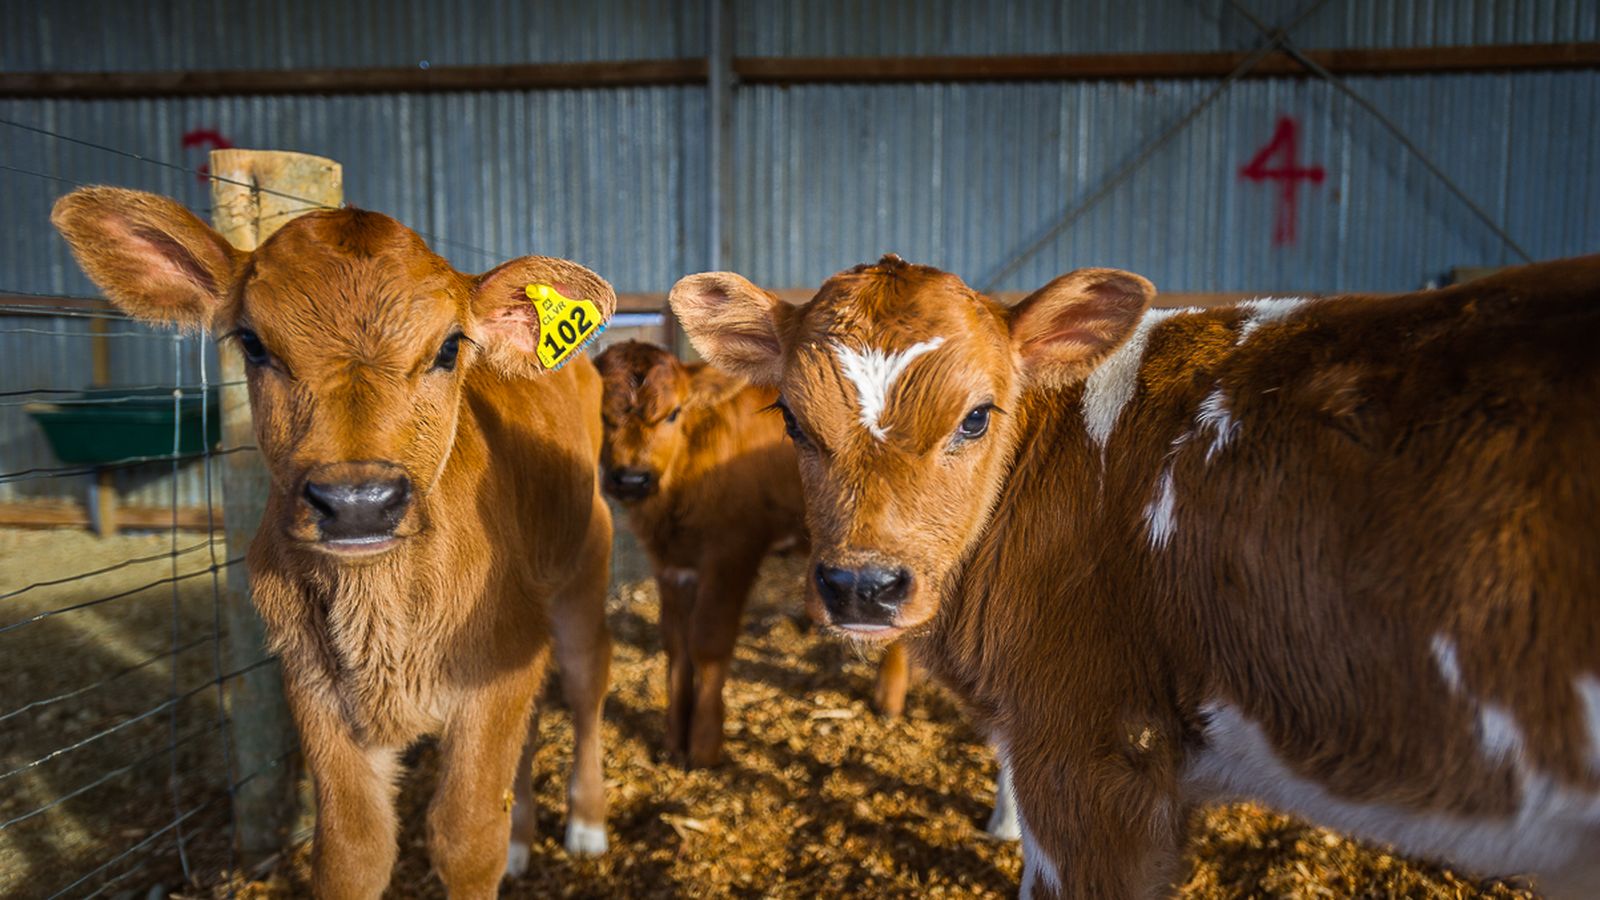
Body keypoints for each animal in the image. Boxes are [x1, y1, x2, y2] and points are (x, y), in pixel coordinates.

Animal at [52, 187, 617, 899]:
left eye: (449, 347)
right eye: (253, 344)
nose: (357, 503)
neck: (383, 619)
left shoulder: (498, 663)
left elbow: (465, 837)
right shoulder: (314, 685)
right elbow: (353, 851)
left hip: (582, 573)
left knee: (587, 686)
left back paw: (587, 826)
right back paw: (523, 841)